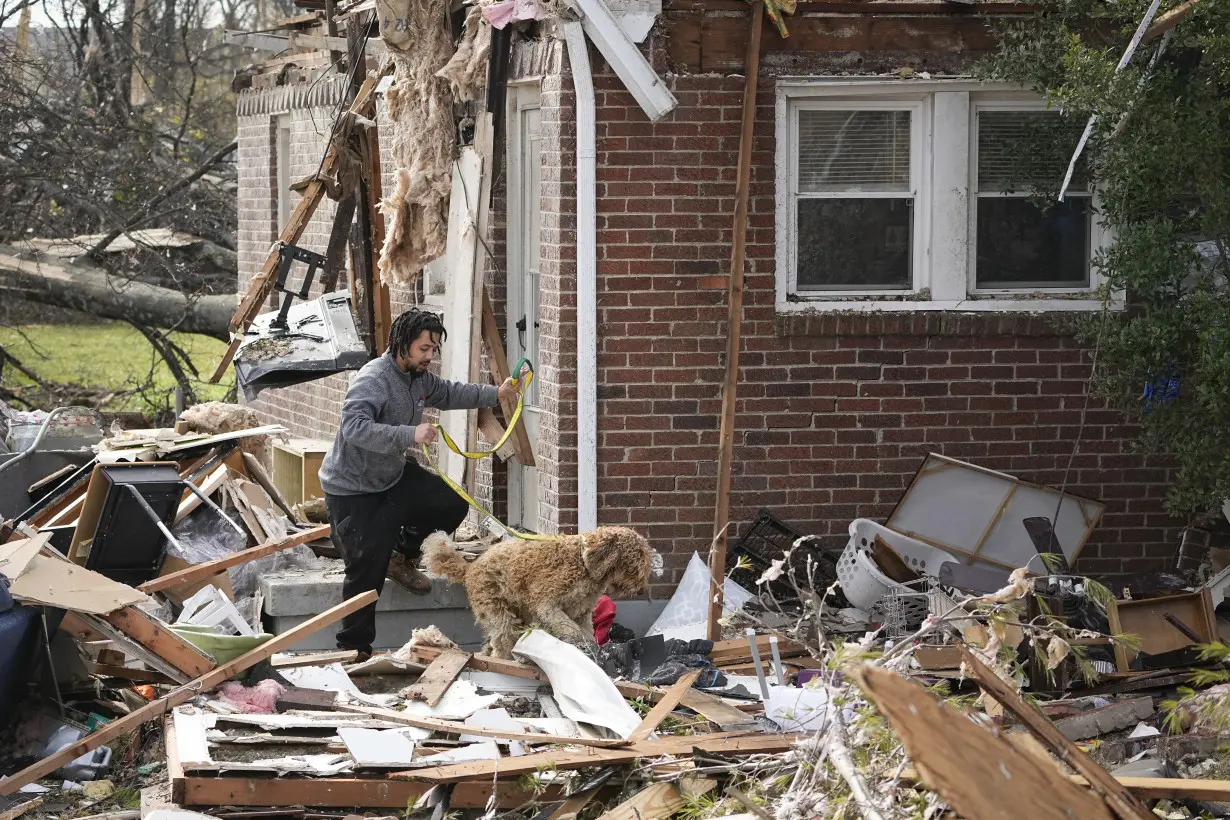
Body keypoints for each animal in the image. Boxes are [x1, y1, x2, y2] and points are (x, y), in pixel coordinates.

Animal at [423, 528, 654, 658]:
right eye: (633, 566)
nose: (642, 590)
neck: (583, 564)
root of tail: (471, 567)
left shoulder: (582, 612)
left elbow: (586, 630)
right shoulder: (547, 605)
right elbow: (570, 629)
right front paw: (580, 645)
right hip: (498, 609)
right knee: (502, 639)